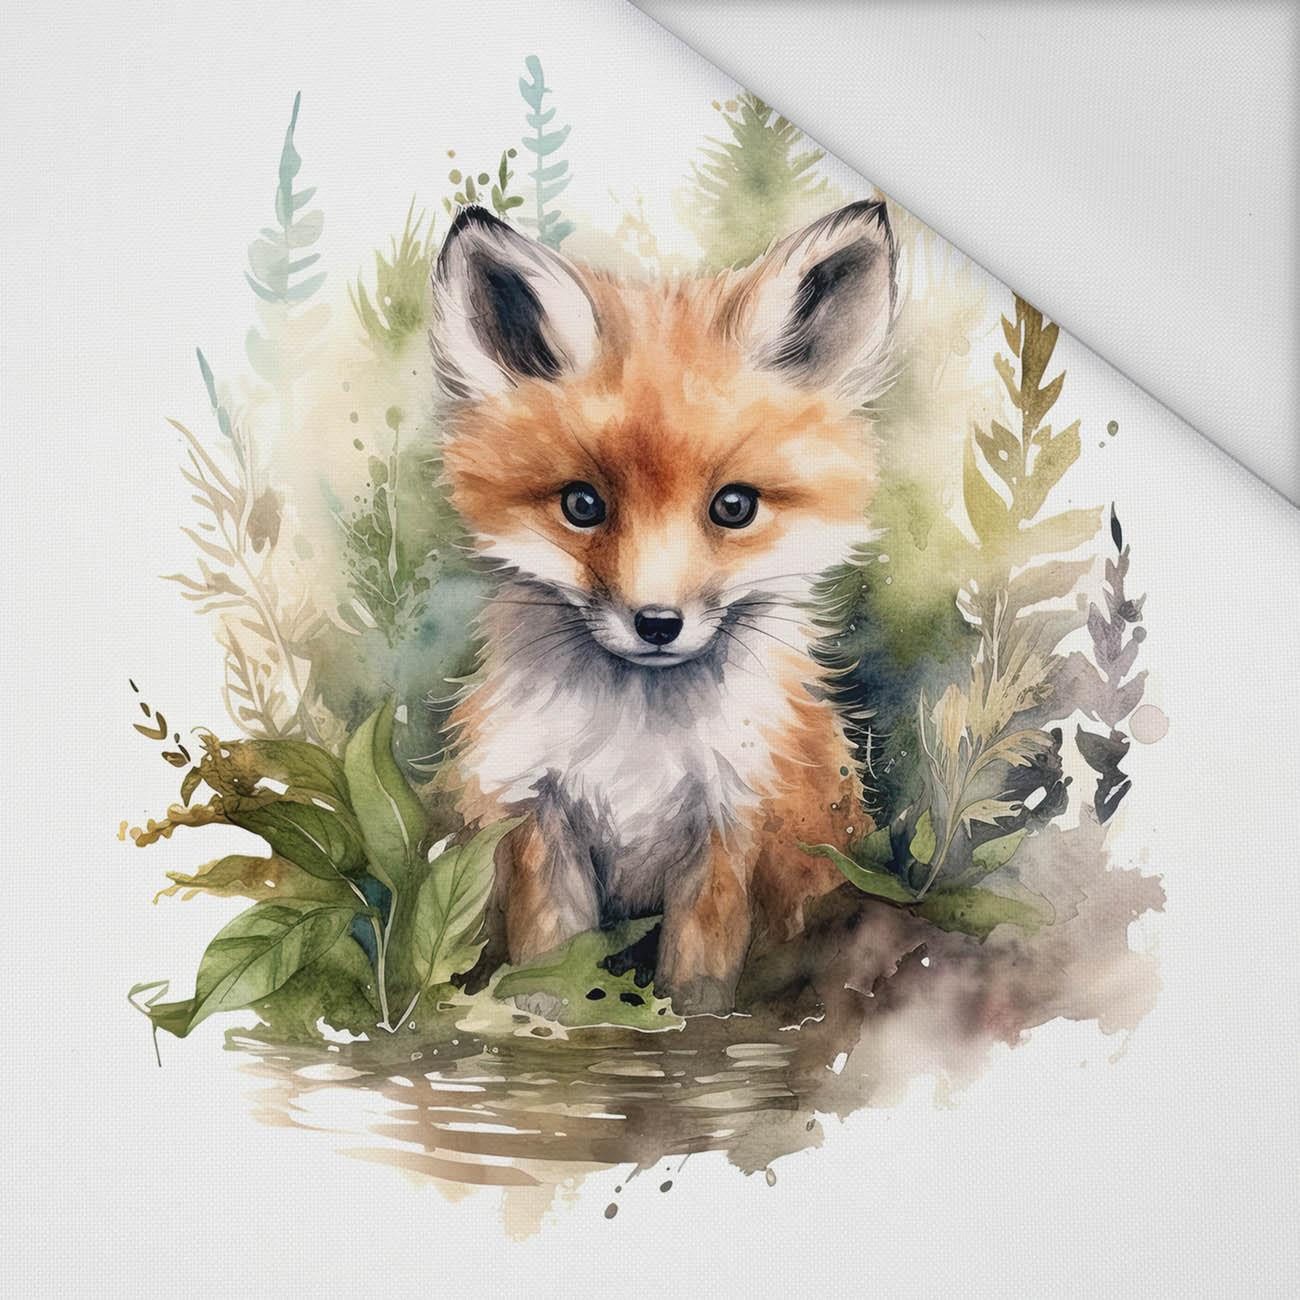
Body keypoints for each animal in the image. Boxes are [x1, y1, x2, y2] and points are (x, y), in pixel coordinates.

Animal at [429, 198, 897, 1014]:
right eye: (582, 505)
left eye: (734, 506)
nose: (656, 623)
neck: (637, 749)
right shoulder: (540, 821)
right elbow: (547, 974)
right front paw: (542, 1034)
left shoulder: (730, 827)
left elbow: (697, 991)